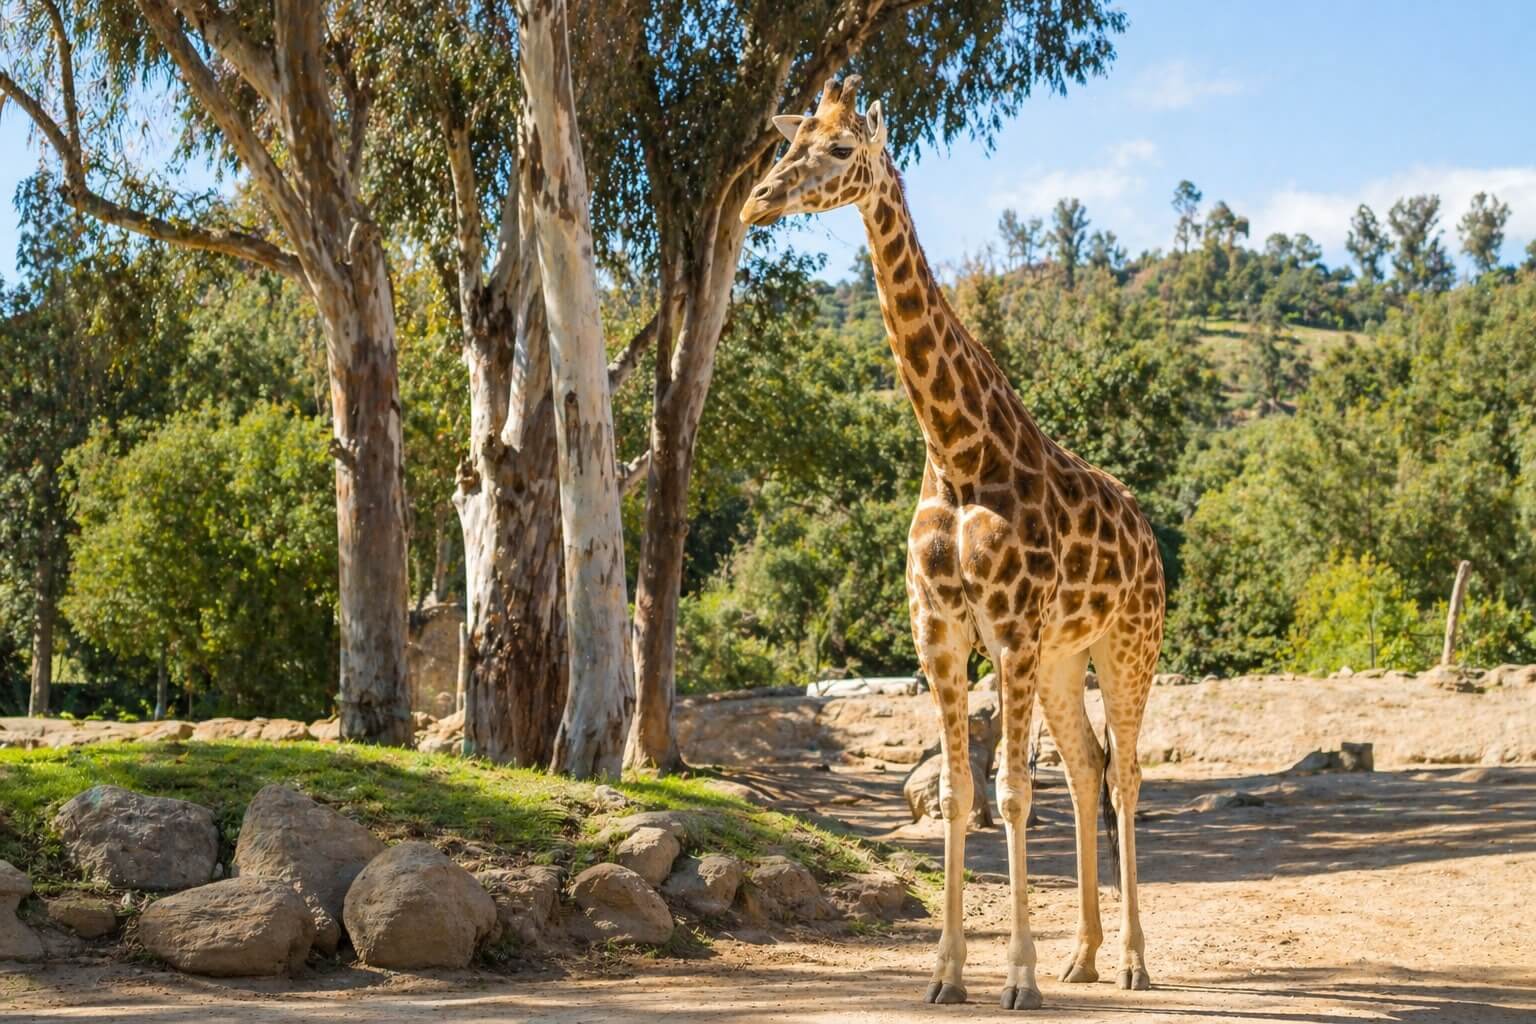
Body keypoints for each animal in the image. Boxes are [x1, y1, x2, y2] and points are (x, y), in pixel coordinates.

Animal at [741, 78, 1165, 1010]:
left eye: (839, 150)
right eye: (792, 141)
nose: (754, 201)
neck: (958, 450)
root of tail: (1149, 533)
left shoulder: (1007, 628)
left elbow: (1010, 793)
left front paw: (1018, 979)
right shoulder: (940, 630)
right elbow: (957, 788)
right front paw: (946, 974)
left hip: (1128, 643)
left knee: (1124, 776)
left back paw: (1132, 961)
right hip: (1062, 656)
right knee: (1086, 770)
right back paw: (1084, 956)